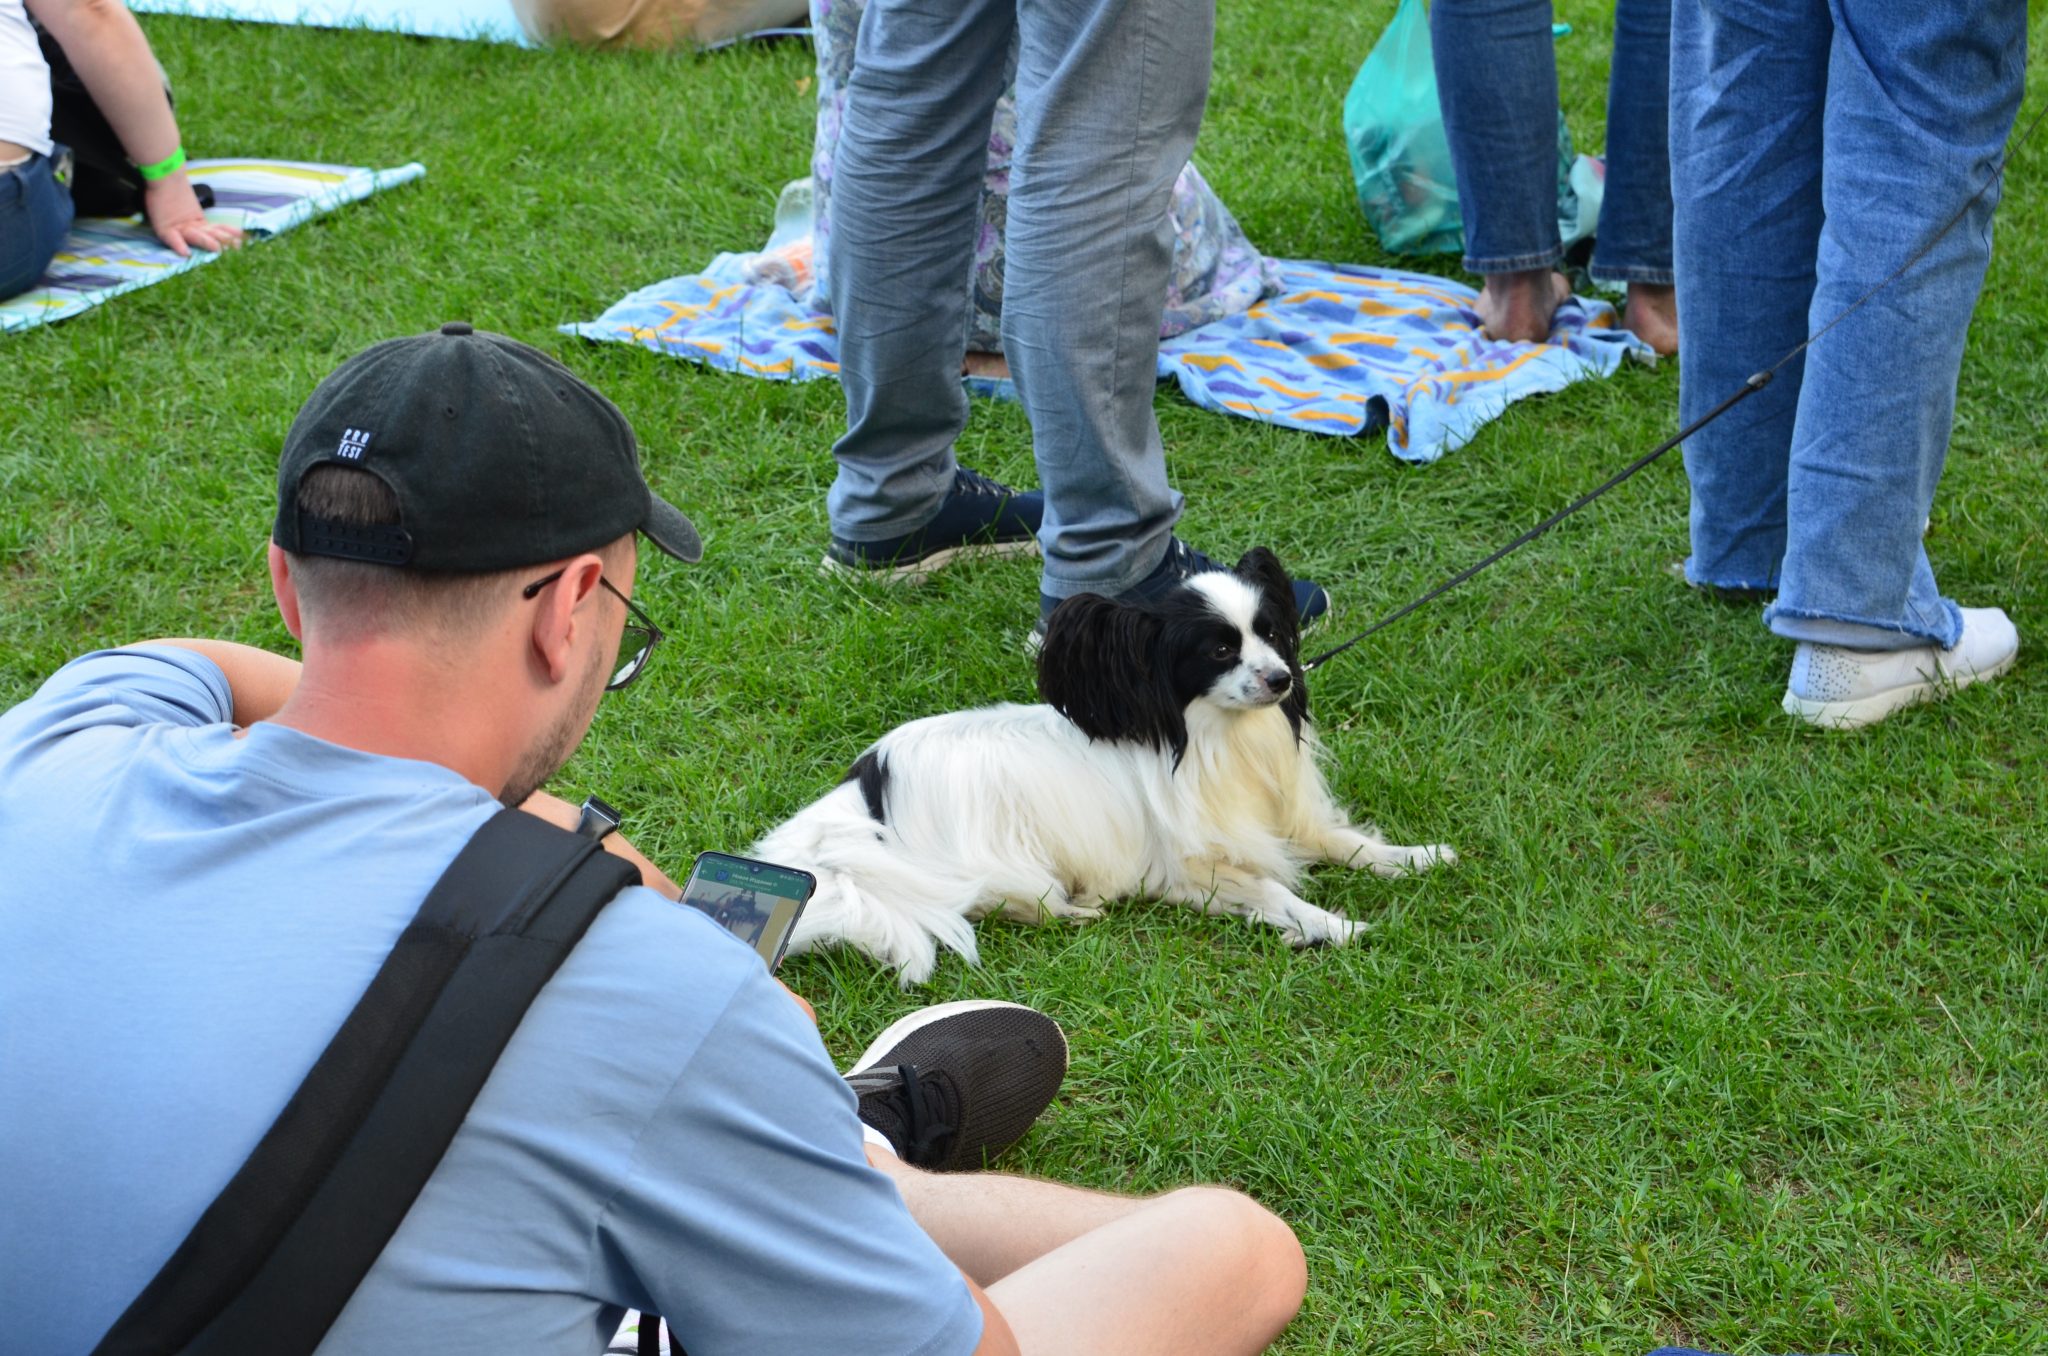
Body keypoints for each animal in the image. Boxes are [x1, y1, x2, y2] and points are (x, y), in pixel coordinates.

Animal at [757, 553, 1458, 987]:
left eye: (1270, 635)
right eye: (1219, 649)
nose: (1284, 678)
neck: (1213, 738)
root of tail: (865, 793)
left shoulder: (1277, 820)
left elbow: (1347, 843)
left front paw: (1416, 858)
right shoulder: (1189, 869)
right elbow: (1273, 891)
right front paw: (1329, 924)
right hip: (998, 864)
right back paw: (1073, 911)